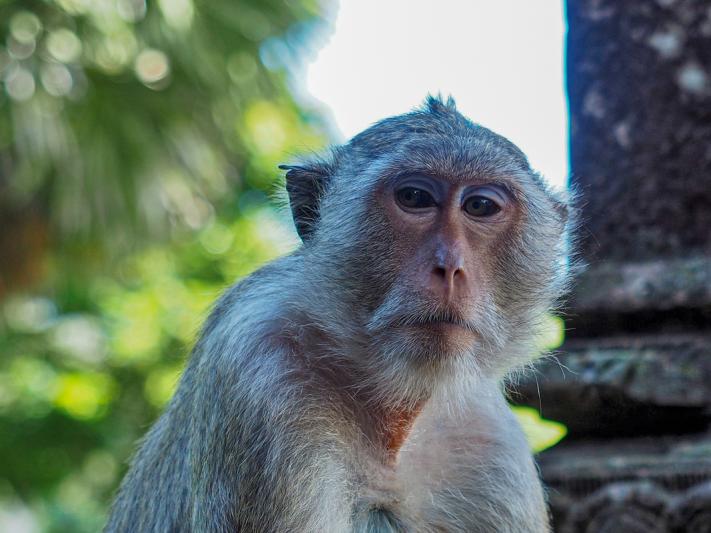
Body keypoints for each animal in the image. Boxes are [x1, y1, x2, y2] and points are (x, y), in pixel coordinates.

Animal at [104, 95, 572, 533]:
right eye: (415, 198)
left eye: (480, 207)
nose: (450, 267)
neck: (391, 422)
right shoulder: (261, 383)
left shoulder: (493, 448)